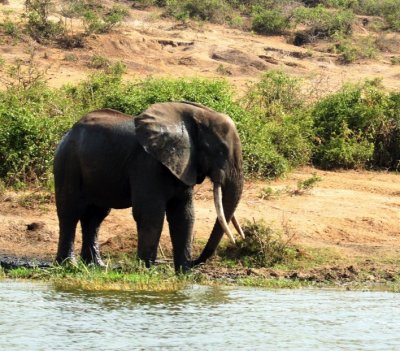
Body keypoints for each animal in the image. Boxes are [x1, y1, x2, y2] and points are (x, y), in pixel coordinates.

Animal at [53, 102, 244, 272]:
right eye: (221, 150)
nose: (194, 262)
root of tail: (68, 132)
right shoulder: (147, 164)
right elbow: (150, 214)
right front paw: (146, 270)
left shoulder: (184, 165)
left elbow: (184, 215)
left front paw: (183, 273)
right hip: (67, 163)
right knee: (70, 213)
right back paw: (69, 265)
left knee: (95, 217)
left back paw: (95, 266)